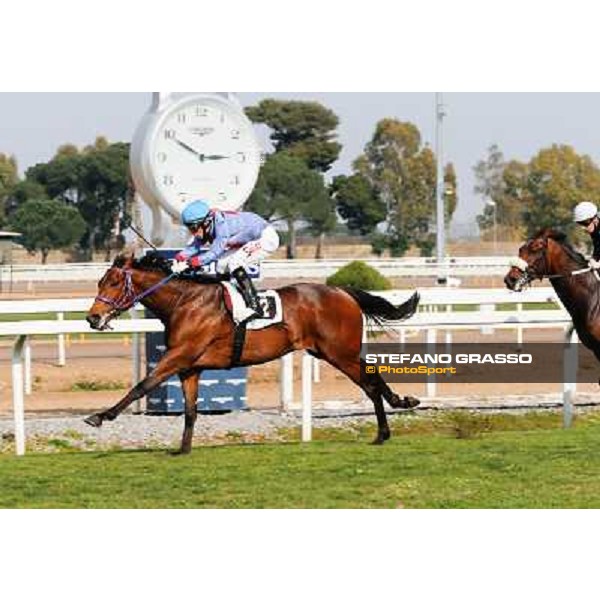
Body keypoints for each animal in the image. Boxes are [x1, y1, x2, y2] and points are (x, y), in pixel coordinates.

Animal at [85, 253, 422, 454]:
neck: (185, 302)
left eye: (113, 282)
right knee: (372, 379)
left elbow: (143, 384)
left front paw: (100, 416)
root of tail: (343, 291)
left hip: (341, 353)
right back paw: (395, 413)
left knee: (370, 383)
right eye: (100, 282)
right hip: (331, 353)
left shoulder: (178, 356)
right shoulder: (189, 367)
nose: (92, 318)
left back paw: (387, 426)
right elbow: (191, 410)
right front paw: (183, 449)